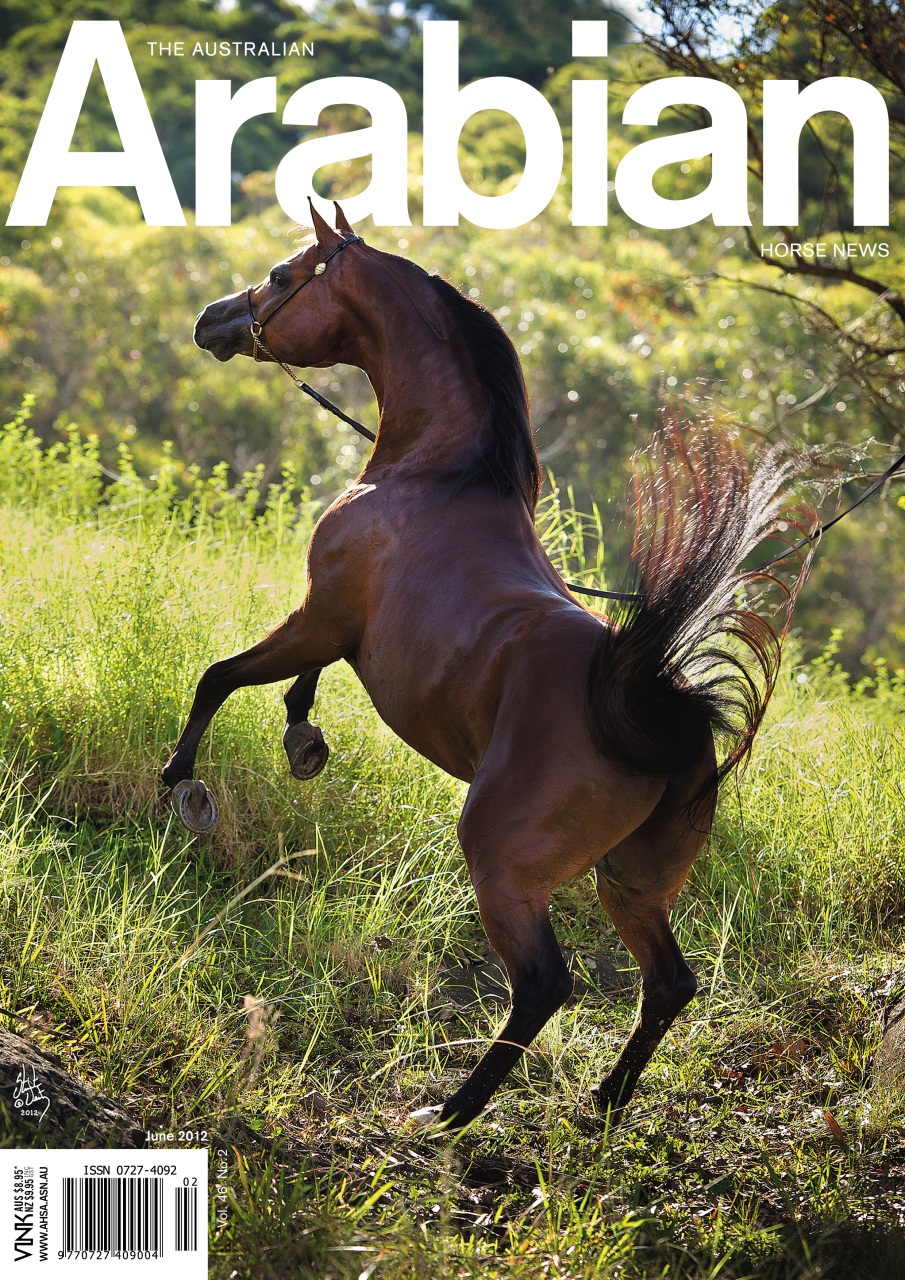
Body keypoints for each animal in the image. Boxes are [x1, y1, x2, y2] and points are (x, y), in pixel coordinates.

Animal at [162, 201, 808, 1131]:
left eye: (285, 275)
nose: (213, 318)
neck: (439, 473)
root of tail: (649, 709)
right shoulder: (335, 631)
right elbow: (293, 687)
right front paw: (303, 741)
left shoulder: (319, 615)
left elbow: (220, 675)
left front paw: (183, 781)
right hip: (632, 882)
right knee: (667, 983)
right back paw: (601, 1102)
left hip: (503, 864)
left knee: (543, 986)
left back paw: (450, 1112)